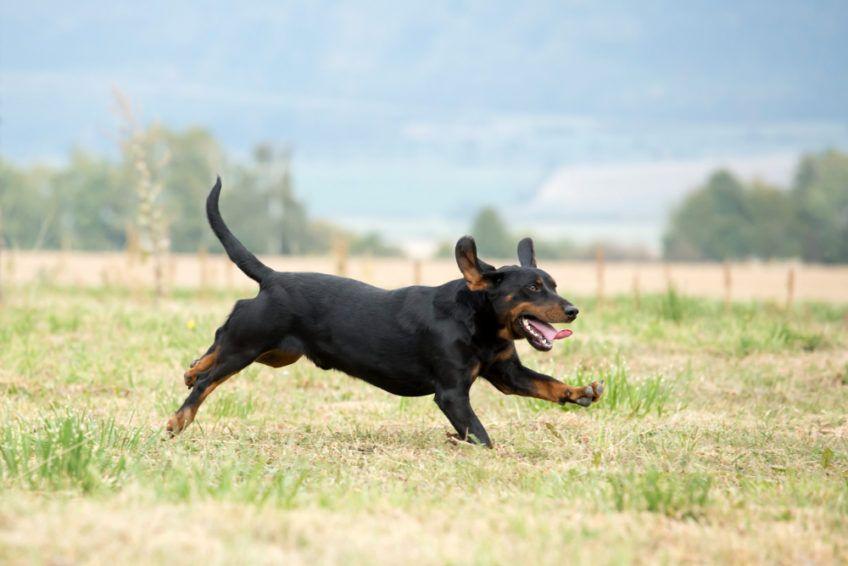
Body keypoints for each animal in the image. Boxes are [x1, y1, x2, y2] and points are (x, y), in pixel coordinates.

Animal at [167, 180, 604, 446]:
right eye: (533, 288)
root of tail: (273, 277)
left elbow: (546, 383)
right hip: (252, 343)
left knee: (215, 346)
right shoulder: (452, 394)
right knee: (207, 380)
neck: (477, 323)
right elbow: (481, 435)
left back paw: (190, 369)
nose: (573, 310)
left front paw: (581, 391)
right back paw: (179, 419)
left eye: (554, 284)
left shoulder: (507, 374)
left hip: (277, 352)